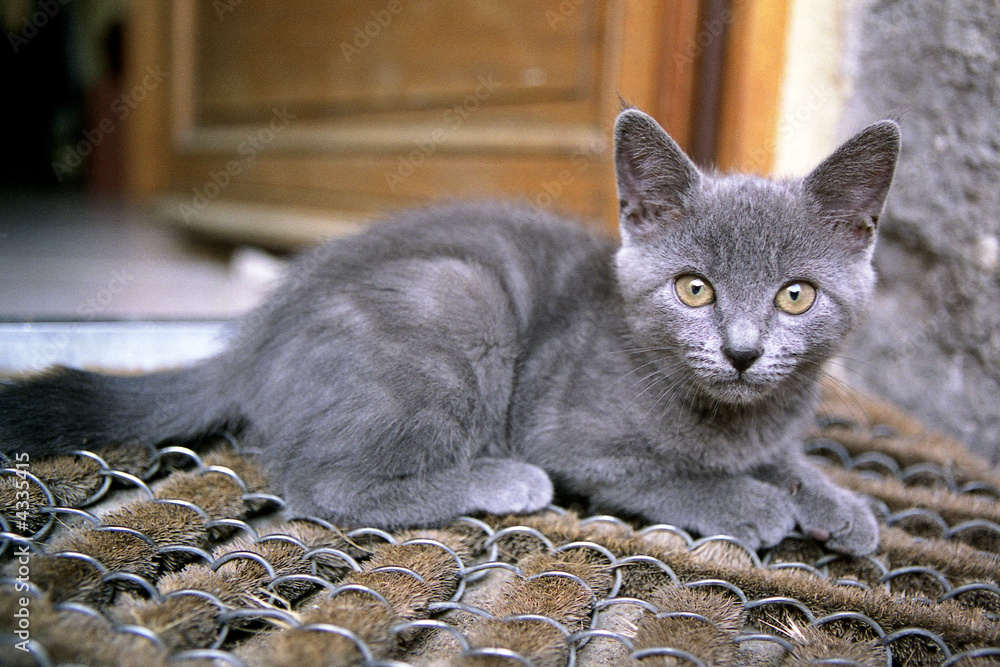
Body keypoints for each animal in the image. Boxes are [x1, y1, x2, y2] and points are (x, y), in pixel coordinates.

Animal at [0, 111, 904, 560]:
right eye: (694, 288)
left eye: (796, 296)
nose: (744, 350)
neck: (729, 416)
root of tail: (253, 339)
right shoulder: (571, 431)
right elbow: (658, 471)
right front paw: (746, 500)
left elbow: (789, 459)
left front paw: (836, 502)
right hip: (459, 296)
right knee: (325, 484)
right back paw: (499, 479)